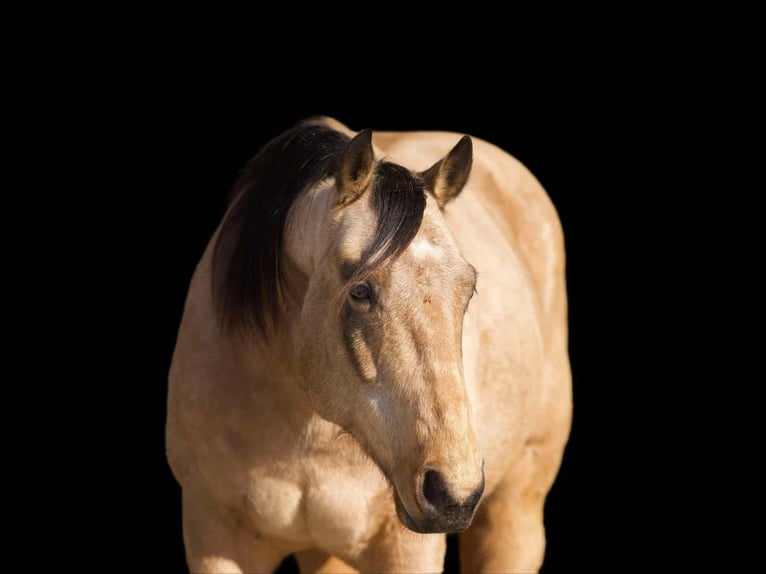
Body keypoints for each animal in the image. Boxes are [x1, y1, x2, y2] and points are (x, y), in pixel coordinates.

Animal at [168, 117, 576, 574]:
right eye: (360, 291)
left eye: (468, 290)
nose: (452, 494)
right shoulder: (214, 537)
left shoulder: (408, 548)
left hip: (515, 510)